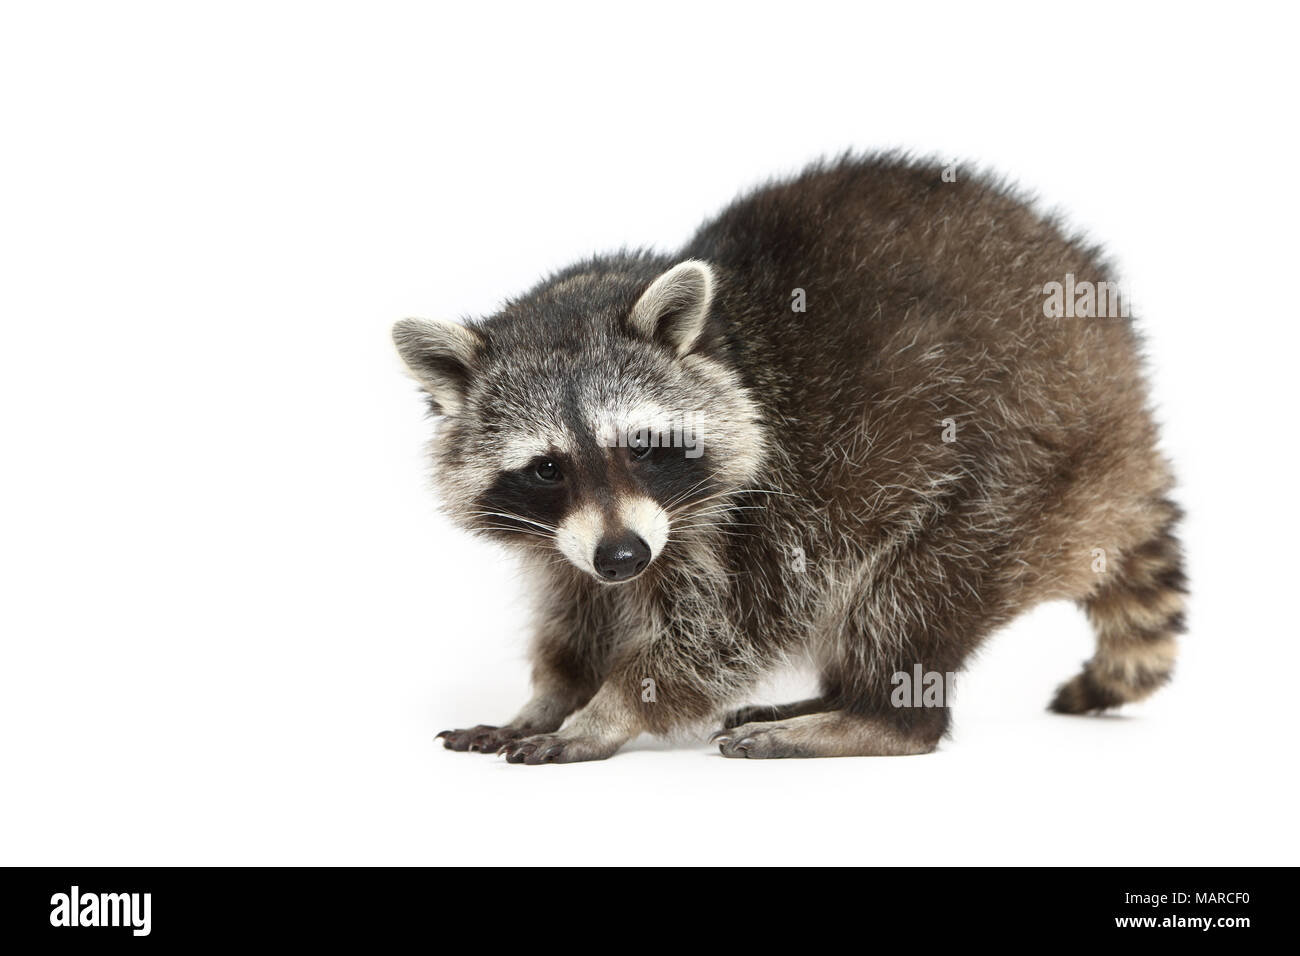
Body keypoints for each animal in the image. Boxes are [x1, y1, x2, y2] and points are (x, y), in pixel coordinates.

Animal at [392, 153, 1190, 764]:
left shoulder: (778, 504)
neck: (727, 344)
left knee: (909, 592)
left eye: (643, 446)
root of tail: (1135, 417)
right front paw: (550, 696)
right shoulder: (569, 541)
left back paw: (875, 717)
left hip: (1024, 468)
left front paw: (607, 711)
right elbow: (575, 611)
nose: (623, 557)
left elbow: (723, 637)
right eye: (547, 468)